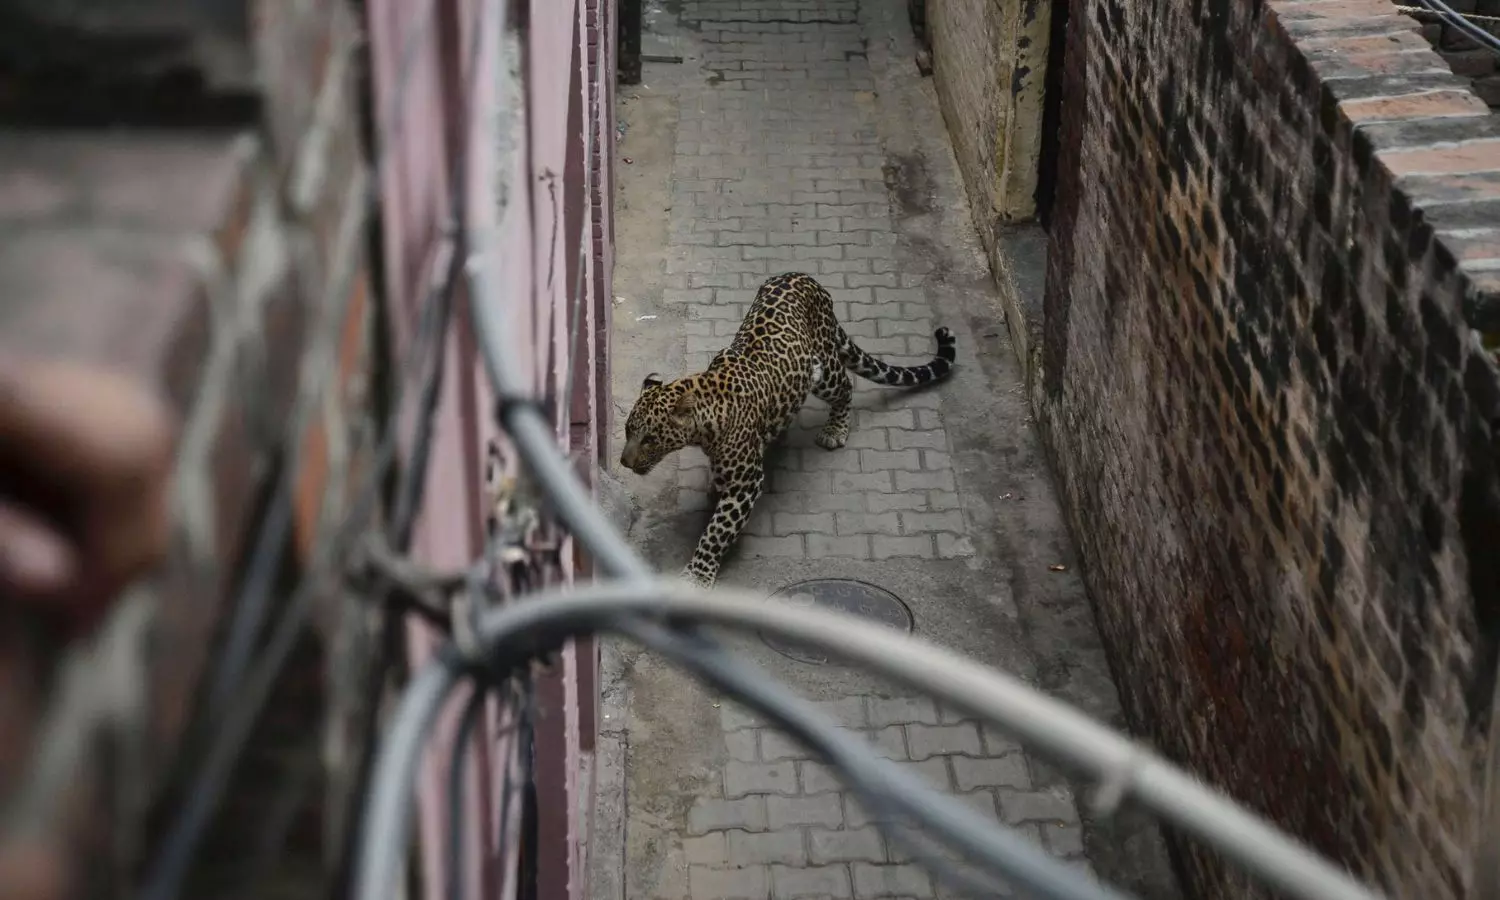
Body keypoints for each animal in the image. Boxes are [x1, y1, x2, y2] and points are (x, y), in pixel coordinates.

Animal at [618, 272, 957, 588]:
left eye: (650, 439)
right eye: (626, 431)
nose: (623, 462)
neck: (707, 416)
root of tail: (805, 277)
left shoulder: (746, 483)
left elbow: (717, 530)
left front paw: (697, 575)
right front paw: (714, 488)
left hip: (822, 371)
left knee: (846, 386)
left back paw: (835, 429)